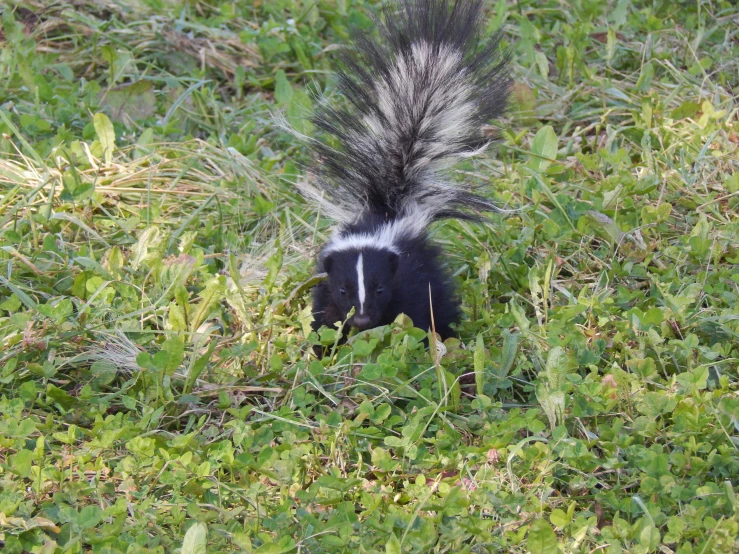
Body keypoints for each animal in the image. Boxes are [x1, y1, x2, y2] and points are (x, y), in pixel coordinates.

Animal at [300, 0, 508, 338]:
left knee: (440, 302)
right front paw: (323, 344)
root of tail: (389, 204)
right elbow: (325, 320)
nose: (361, 320)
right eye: (343, 289)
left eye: (380, 288)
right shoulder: (325, 288)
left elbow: (419, 316)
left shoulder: (411, 280)